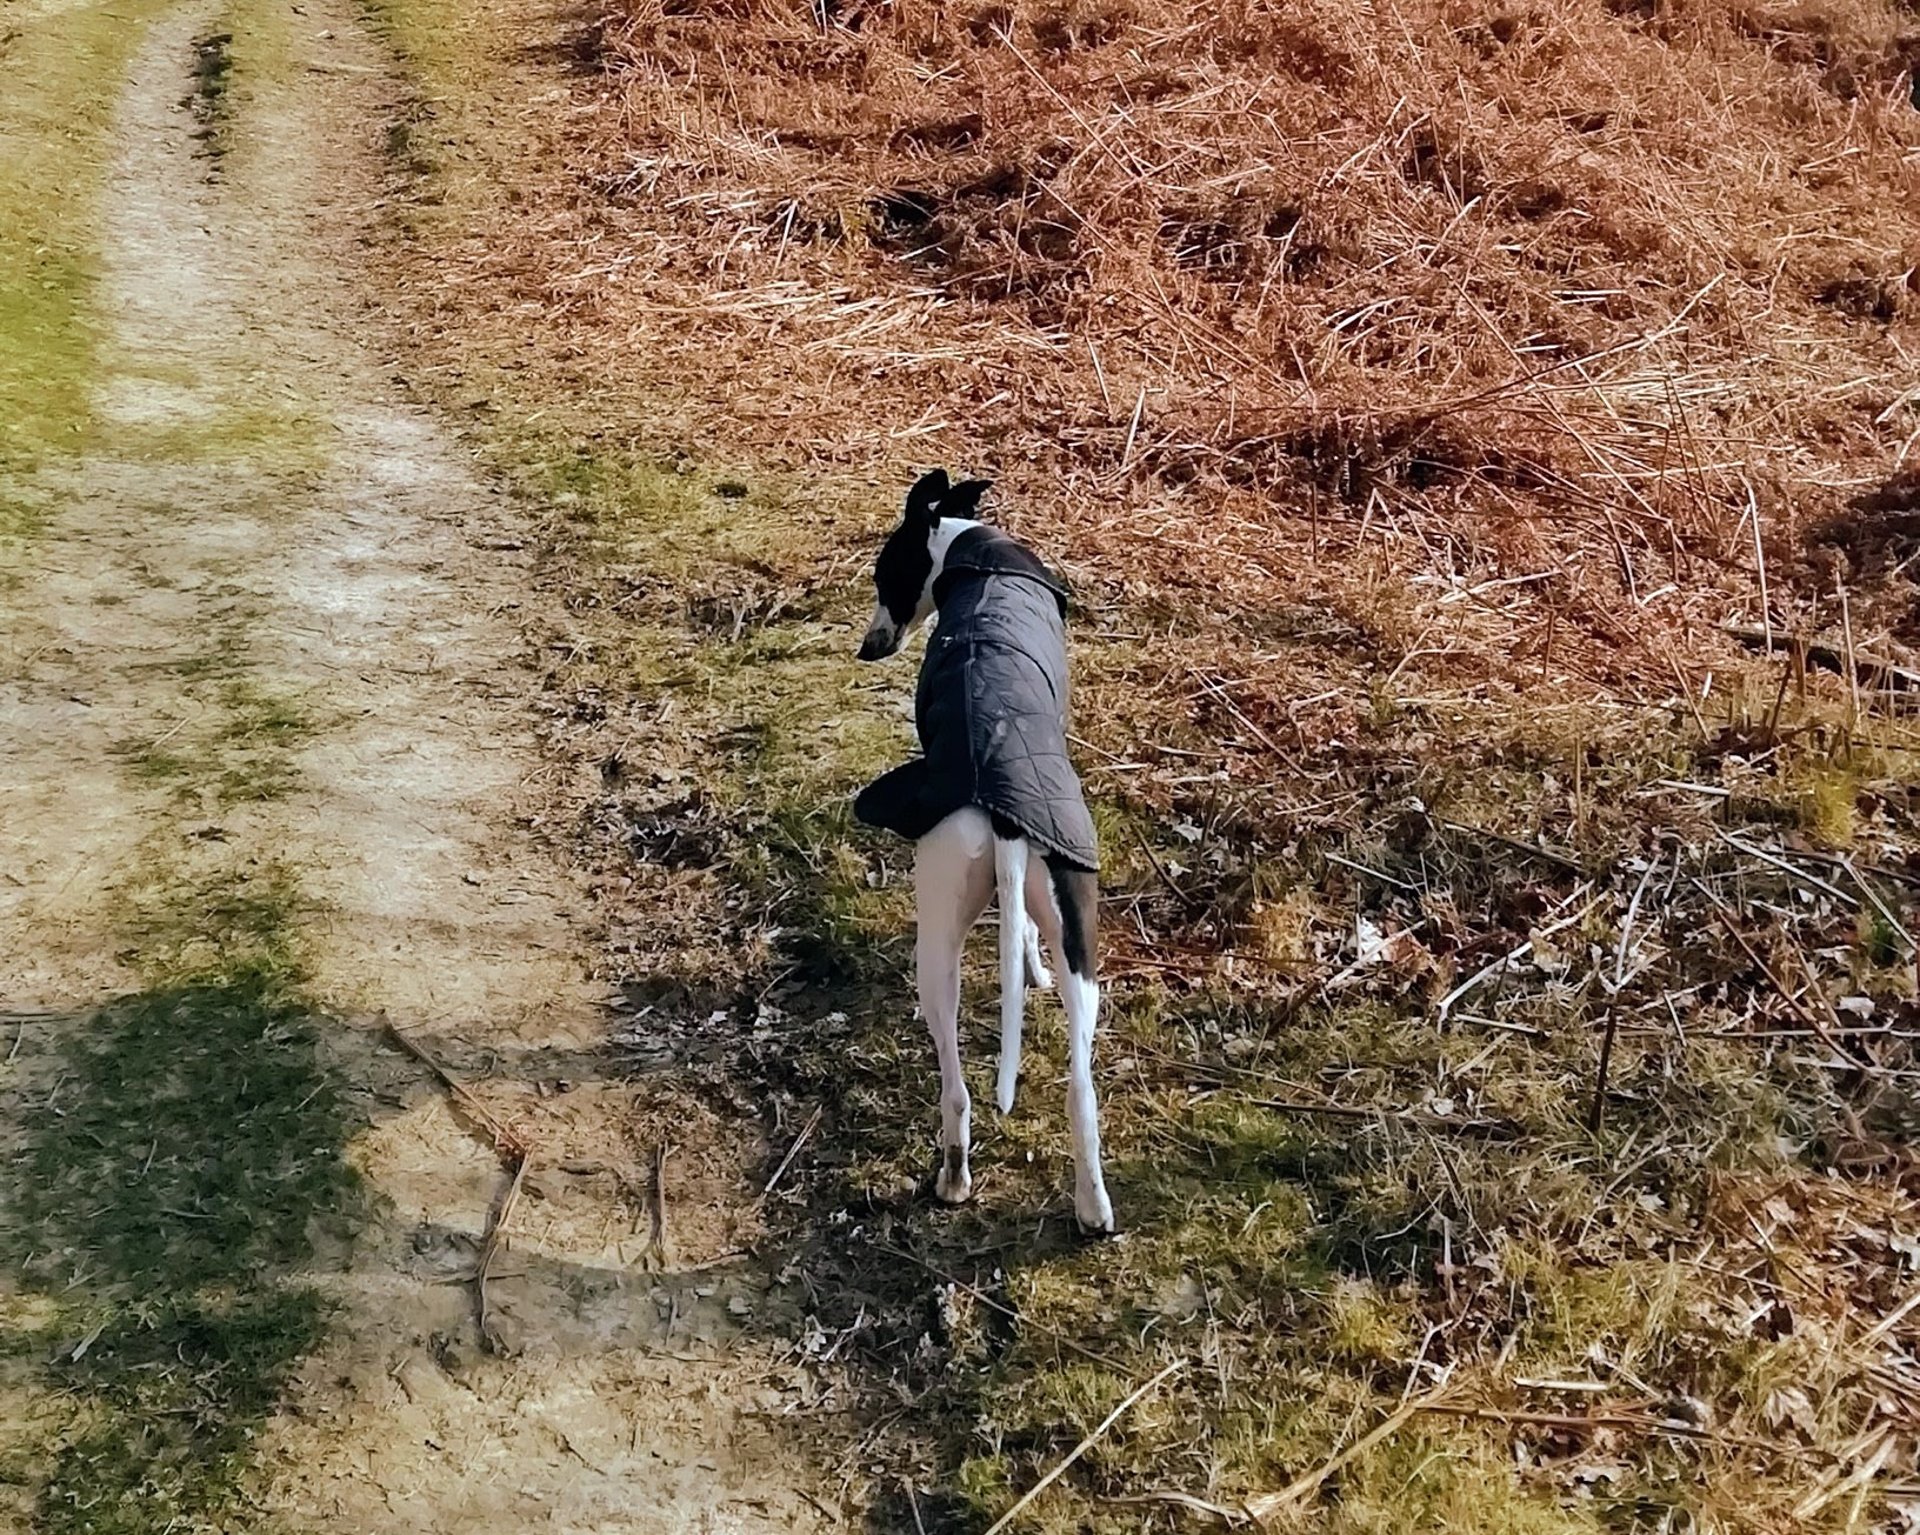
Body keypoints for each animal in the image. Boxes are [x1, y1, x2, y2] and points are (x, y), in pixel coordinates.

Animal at [852, 469, 1113, 1233]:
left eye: (884, 571)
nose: (868, 647)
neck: (972, 551)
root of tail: (997, 806)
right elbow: (1022, 932)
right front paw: (1030, 969)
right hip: (1079, 934)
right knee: (1081, 1094)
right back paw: (1093, 1207)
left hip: (934, 941)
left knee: (956, 1088)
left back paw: (953, 1177)